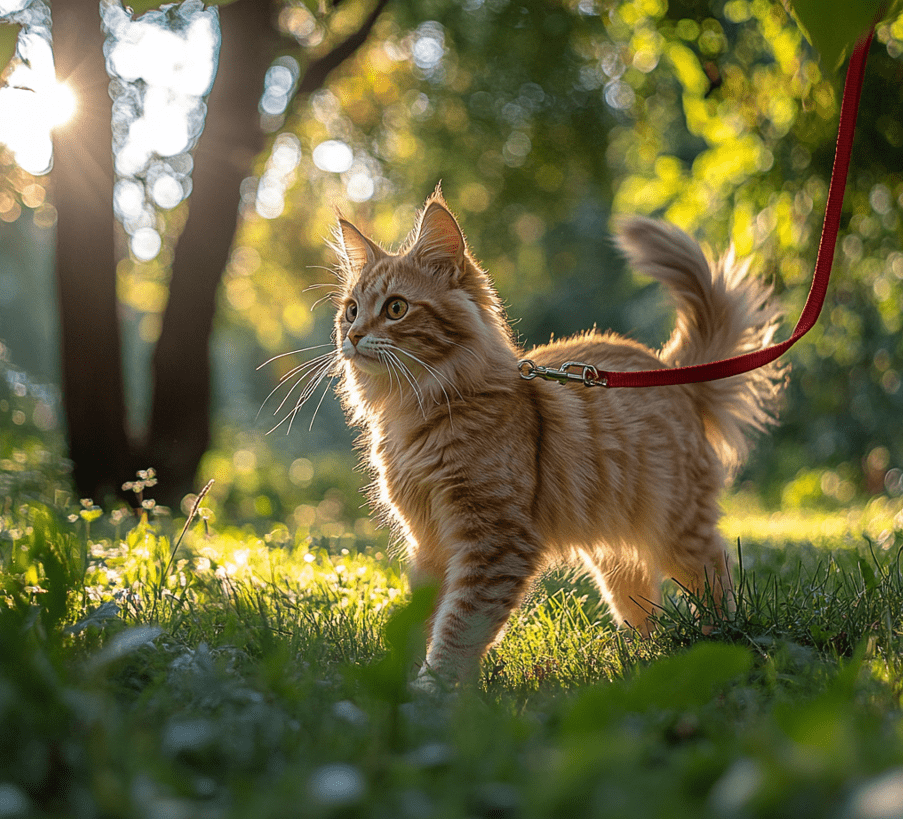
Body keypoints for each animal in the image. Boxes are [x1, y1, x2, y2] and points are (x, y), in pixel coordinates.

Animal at [290, 189, 784, 684]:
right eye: (351, 310)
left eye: (395, 308)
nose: (353, 336)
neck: (416, 411)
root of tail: (668, 369)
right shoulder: (429, 542)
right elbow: (419, 619)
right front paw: (396, 683)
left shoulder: (496, 542)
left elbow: (458, 626)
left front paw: (433, 690)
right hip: (615, 552)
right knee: (644, 609)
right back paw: (640, 664)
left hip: (678, 525)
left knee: (715, 573)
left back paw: (713, 646)